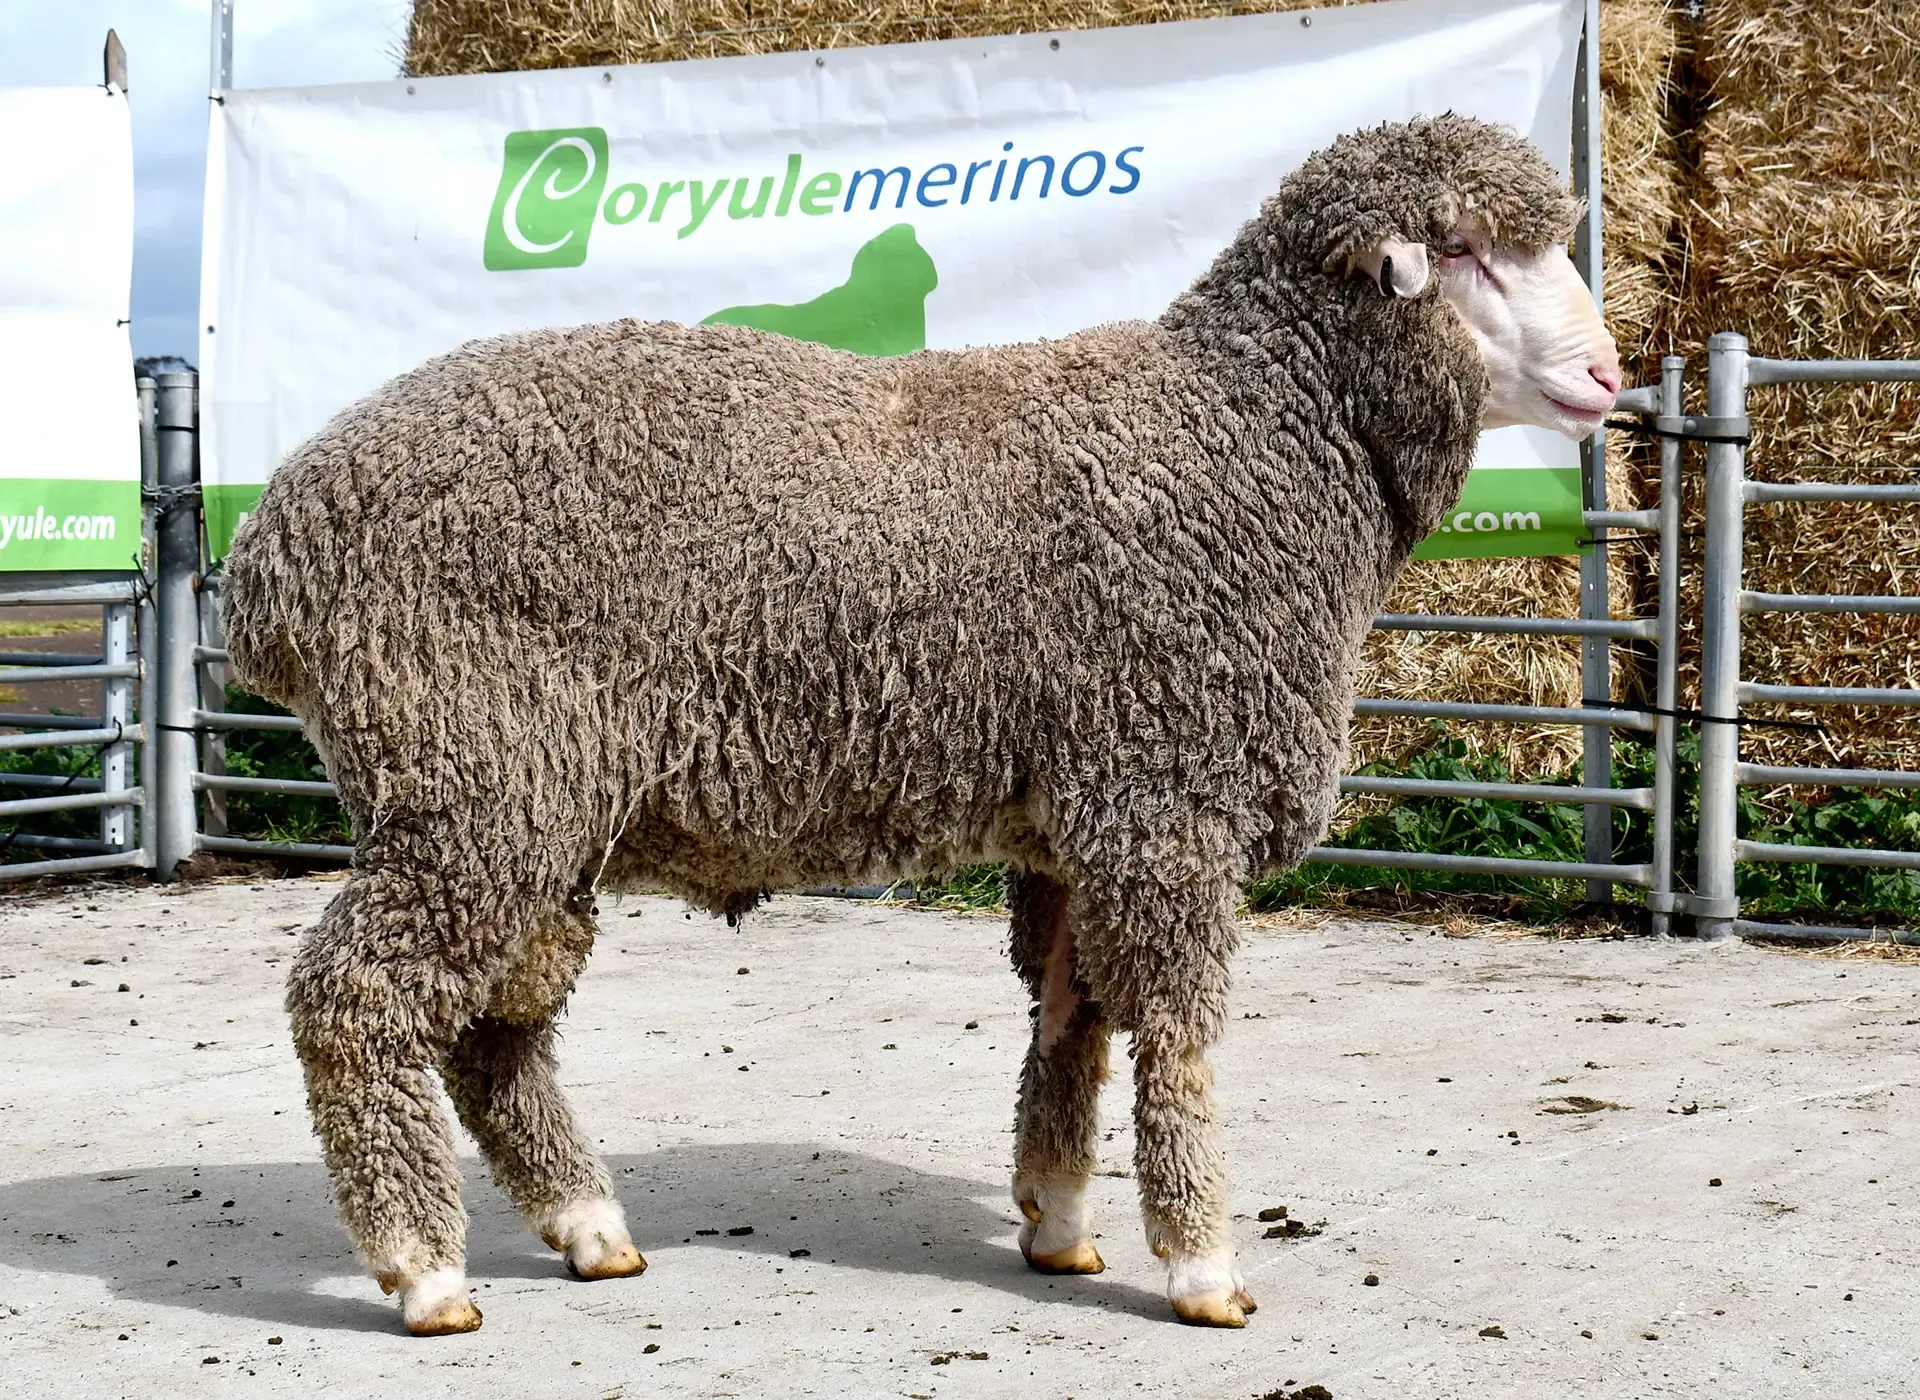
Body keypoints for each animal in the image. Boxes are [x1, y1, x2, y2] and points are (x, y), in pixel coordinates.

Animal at [222, 114, 1620, 1336]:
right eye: (1467, 250)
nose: (1608, 373)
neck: (1252, 441)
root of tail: (273, 550)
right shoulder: (1165, 796)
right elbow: (1176, 1039)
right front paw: (1203, 1264)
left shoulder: (1077, 820)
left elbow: (1070, 1021)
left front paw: (1057, 1221)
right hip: (470, 773)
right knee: (355, 997)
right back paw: (424, 1269)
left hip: (531, 802)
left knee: (493, 1030)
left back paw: (587, 1227)